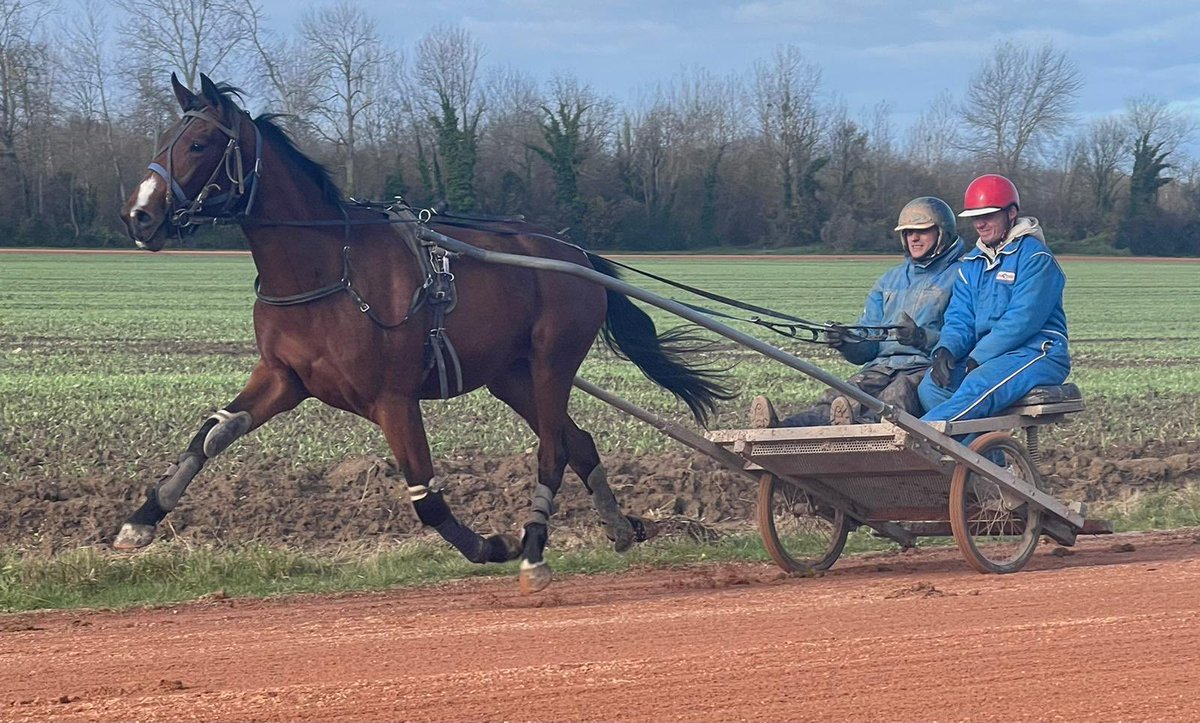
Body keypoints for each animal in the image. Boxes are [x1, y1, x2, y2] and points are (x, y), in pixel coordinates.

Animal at [117, 73, 729, 590]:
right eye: (166, 137)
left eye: (200, 144)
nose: (139, 215)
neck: (326, 266)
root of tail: (572, 252)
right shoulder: (284, 378)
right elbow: (211, 433)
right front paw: (141, 519)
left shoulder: (393, 397)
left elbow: (425, 497)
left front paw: (494, 545)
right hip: (510, 376)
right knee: (579, 443)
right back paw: (620, 527)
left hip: (552, 363)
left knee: (553, 451)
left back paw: (533, 550)